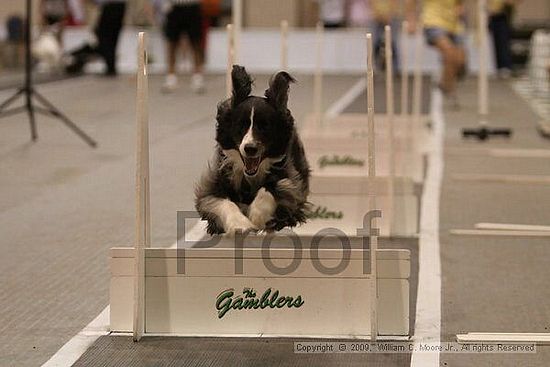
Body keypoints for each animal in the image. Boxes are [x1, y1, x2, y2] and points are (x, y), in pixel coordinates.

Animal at [197, 64, 310, 234]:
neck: (249, 176)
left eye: (265, 126)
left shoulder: (290, 180)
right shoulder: (214, 182)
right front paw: (240, 224)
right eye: (240, 125)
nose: (250, 148)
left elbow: (273, 188)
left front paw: (257, 216)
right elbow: (220, 200)